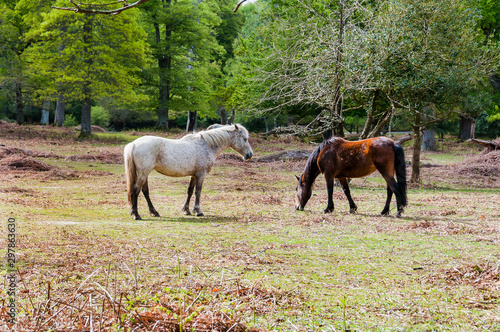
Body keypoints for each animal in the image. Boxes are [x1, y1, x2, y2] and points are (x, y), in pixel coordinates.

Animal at [123, 123, 252, 219]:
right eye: (245, 139)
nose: (249, 155)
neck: (206, 145)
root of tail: (134, 143)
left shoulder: (194, 175)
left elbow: (190, 191)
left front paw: (186, 210)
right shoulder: (201, 174)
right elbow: (198, 192)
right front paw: (198, 211)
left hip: (144, 174)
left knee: (145, 191)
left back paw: (153, 212)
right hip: (143, 173)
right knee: (136, 190)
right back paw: (136, 215)